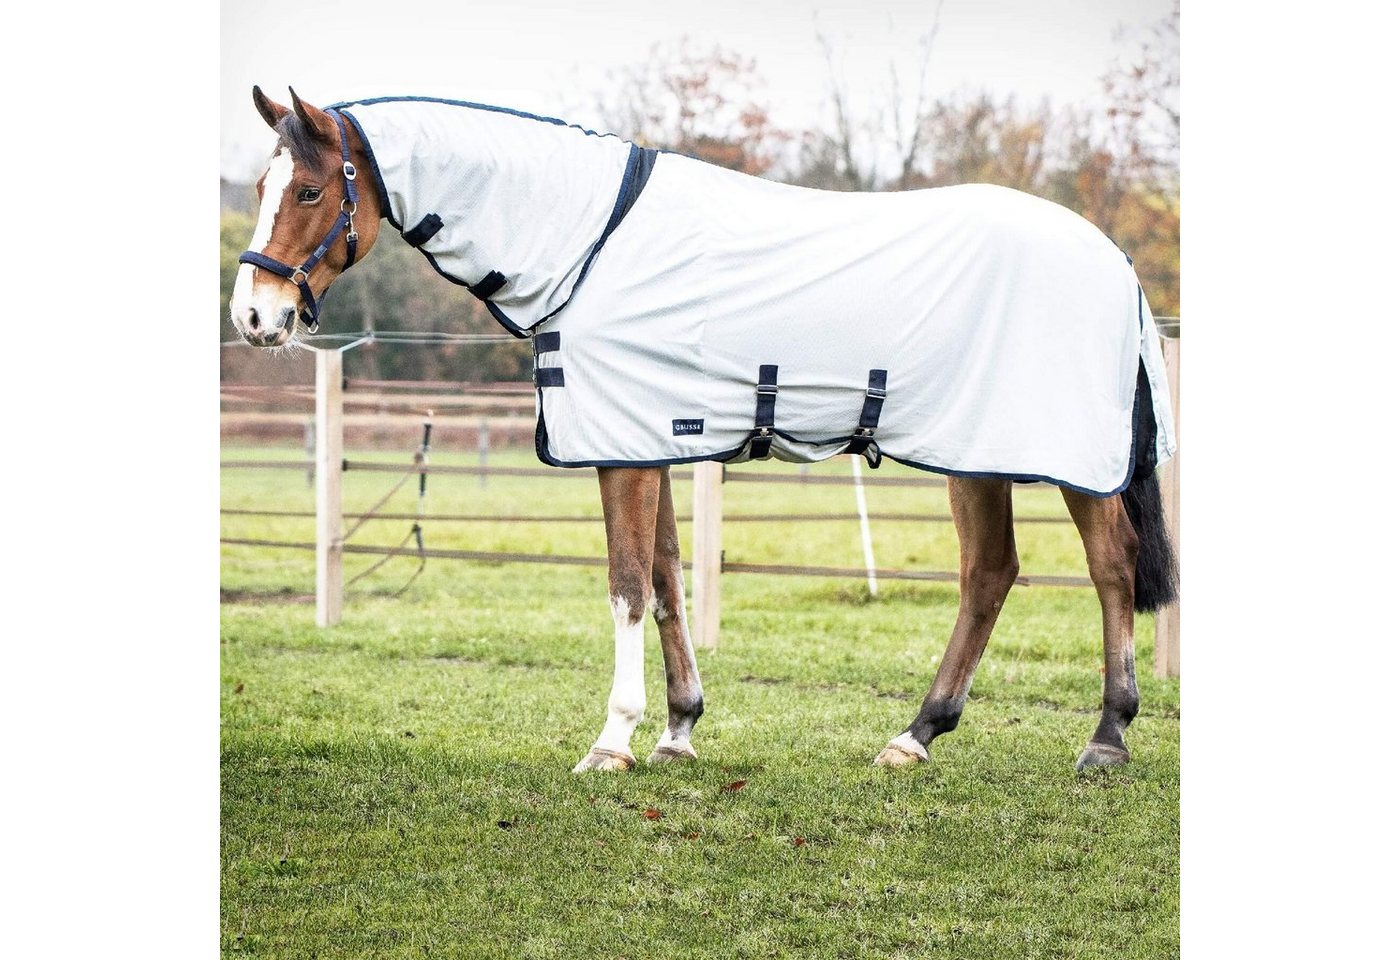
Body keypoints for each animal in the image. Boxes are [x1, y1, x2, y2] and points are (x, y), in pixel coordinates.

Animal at [229, 87, 1178, 774]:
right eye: (261, 188)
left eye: (309, 189)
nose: (254, 316)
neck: (591, 242)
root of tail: (1113, 260)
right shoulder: (648, 442)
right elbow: (667, 580)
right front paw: (678, 730)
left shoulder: (621, 447)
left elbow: (625, 584)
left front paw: (612, 740)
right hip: (974, 454)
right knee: (990, 573)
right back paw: (916, 735)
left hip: (1061, 461)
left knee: (1109, 566)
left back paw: (1106, 738)